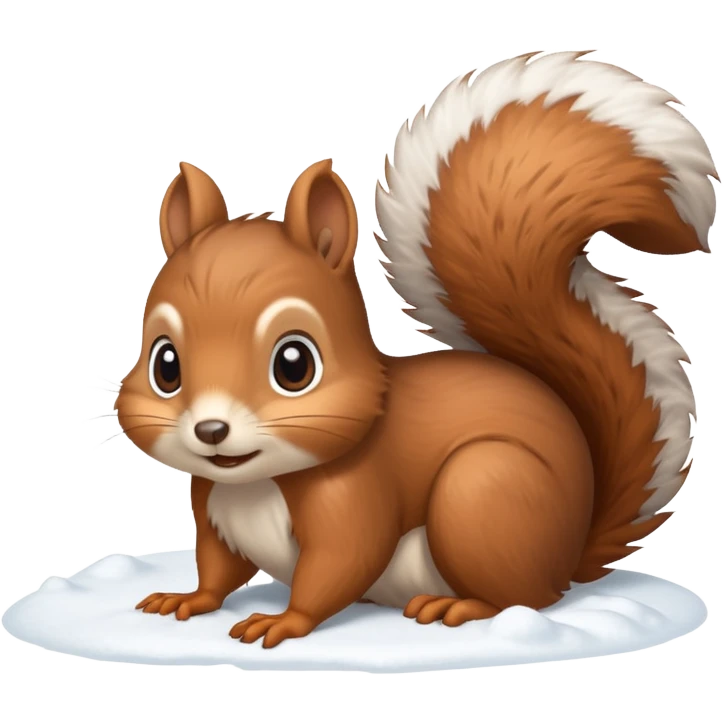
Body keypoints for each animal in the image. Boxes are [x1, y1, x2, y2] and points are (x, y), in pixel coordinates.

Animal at [117, 50, 719, 649]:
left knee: (524, 596)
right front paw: (188, 599)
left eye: (295, 365)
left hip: (483, 494)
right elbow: (219, 570)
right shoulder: (214, 512)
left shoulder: (356, 500)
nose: (211, 430)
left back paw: (458, 606)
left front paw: (284, 620)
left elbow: (338, 565)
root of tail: (570, 556)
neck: (254, 484)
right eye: (165, 365)